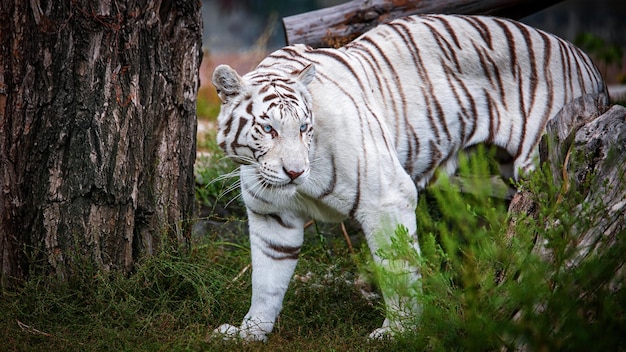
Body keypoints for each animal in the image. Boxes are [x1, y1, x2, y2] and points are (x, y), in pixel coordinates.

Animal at [210, 14, 604, 340]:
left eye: (304, 127)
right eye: (269, 129)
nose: (295, 172)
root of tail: (588, 63)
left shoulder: (386, 197)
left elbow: (396, 269)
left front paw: (398, 331)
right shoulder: (271, 217)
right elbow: (266, 281)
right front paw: (250, 332)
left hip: (542, 166)